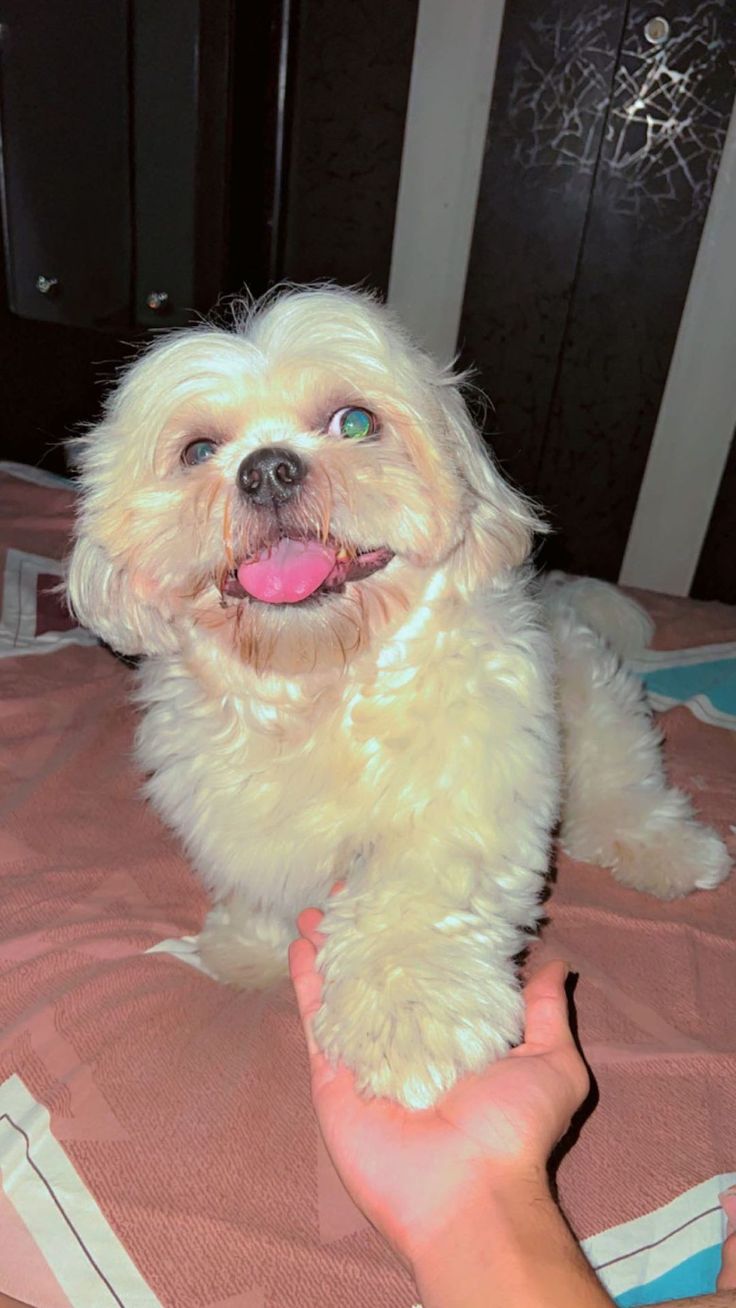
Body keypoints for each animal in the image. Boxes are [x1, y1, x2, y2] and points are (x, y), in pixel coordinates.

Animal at [64, 283, 732, 1103]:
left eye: (354, 422)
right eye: (198, 452)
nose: (268, 469)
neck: (321, 682)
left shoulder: (462, 795)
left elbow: (418, 903)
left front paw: (410, 1021)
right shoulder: (236, 812)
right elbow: (262, 882)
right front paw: (251, 951)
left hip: (595, 706)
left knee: (625, 786)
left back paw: (671, 850)